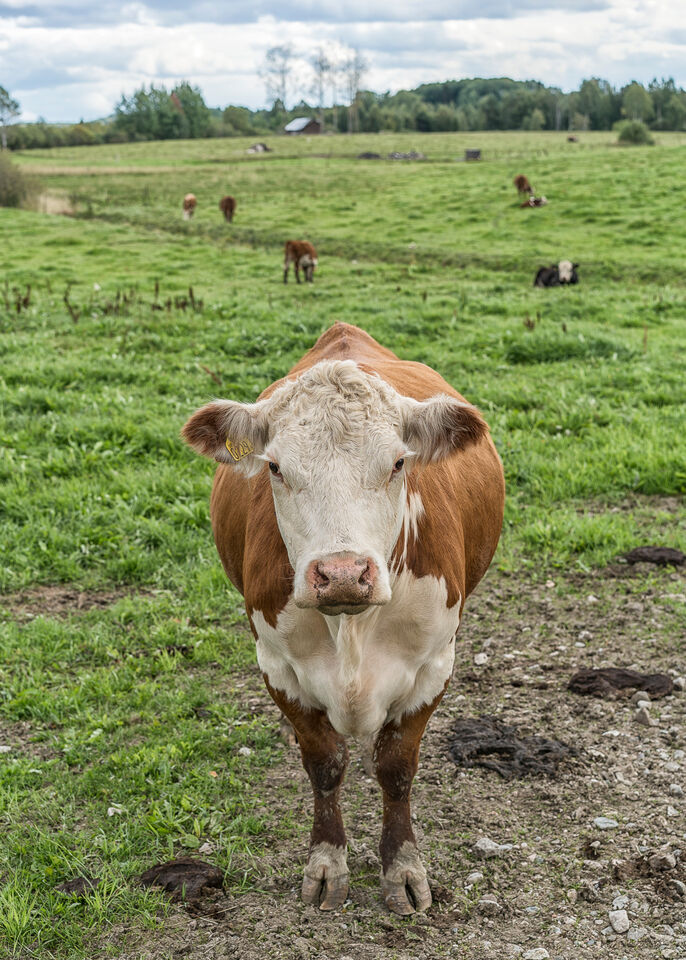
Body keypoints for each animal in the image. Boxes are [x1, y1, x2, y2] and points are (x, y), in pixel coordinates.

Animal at [181, 322, 505, 916]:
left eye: (398, 463)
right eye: (276, 467)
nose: (343, 575)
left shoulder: (434, 664)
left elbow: (396, 767)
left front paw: (403, 870)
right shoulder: (277, 664)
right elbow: (325, 763)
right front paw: (327, 865)